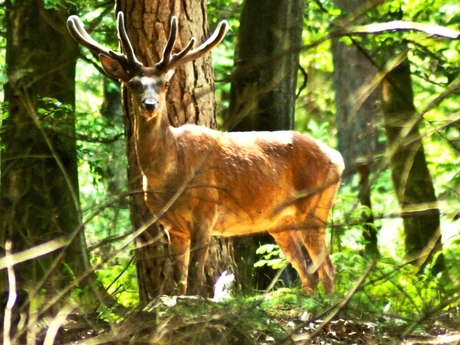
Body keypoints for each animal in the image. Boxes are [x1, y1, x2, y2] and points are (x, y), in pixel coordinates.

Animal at [66, 12, 344, 294]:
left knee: (327, 268)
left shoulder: (206, 212)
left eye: (165, 83)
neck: (168, 175)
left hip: (315, 206)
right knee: (307, 271)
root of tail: (337, 157)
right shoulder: (173, 226)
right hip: (281, 223)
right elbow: (178, 281)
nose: (150, 105)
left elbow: (195, 279)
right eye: (133, 83)